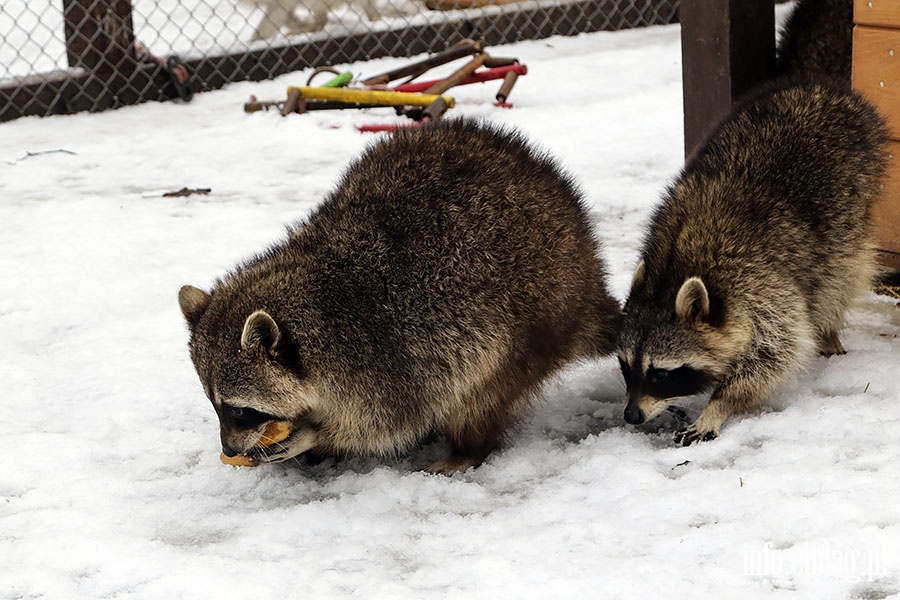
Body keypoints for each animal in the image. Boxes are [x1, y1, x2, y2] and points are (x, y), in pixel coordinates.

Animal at [179, 117, 624, 474]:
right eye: (215, 405)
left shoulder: (386, 360)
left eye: (239, 410)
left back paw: (467, 448)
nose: (228, 447)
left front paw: (318, 435)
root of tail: (587, 280)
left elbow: (382, 425)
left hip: (526, 320)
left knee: (478, 391)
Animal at [620, 81, 884, 446]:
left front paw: (720, 403)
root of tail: (819, 91)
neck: (671, 271)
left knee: (836, 275)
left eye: (661, 373)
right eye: (626, 367)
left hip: (848, 203)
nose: (632, 416)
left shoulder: (760, 286)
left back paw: (828, 326)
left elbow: (774, 353)